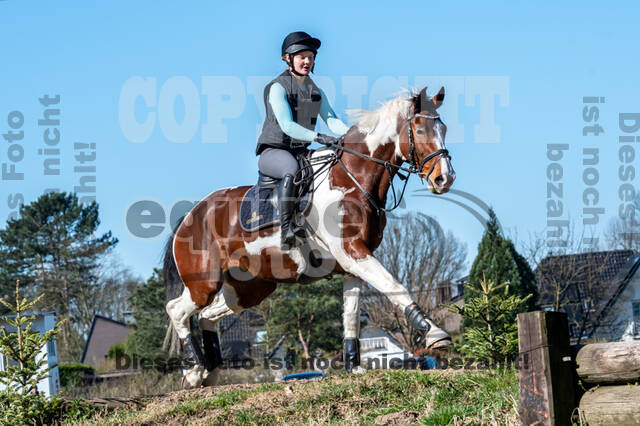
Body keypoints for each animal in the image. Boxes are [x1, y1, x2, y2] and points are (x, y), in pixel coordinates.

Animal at [164, 86, 456, 390]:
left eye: (443, 128)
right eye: (420, 130)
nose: (445, 179)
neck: (352, 179)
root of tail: (191, 215)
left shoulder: (353, 264)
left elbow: (352, 317)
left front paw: (354, 367)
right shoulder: (352, 252)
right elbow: (394, 286)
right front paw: (435, 333)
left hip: (249, 289)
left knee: (207, 314)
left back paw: (210, 372)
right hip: (205, 283)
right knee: (177, 310)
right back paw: (194, 370)